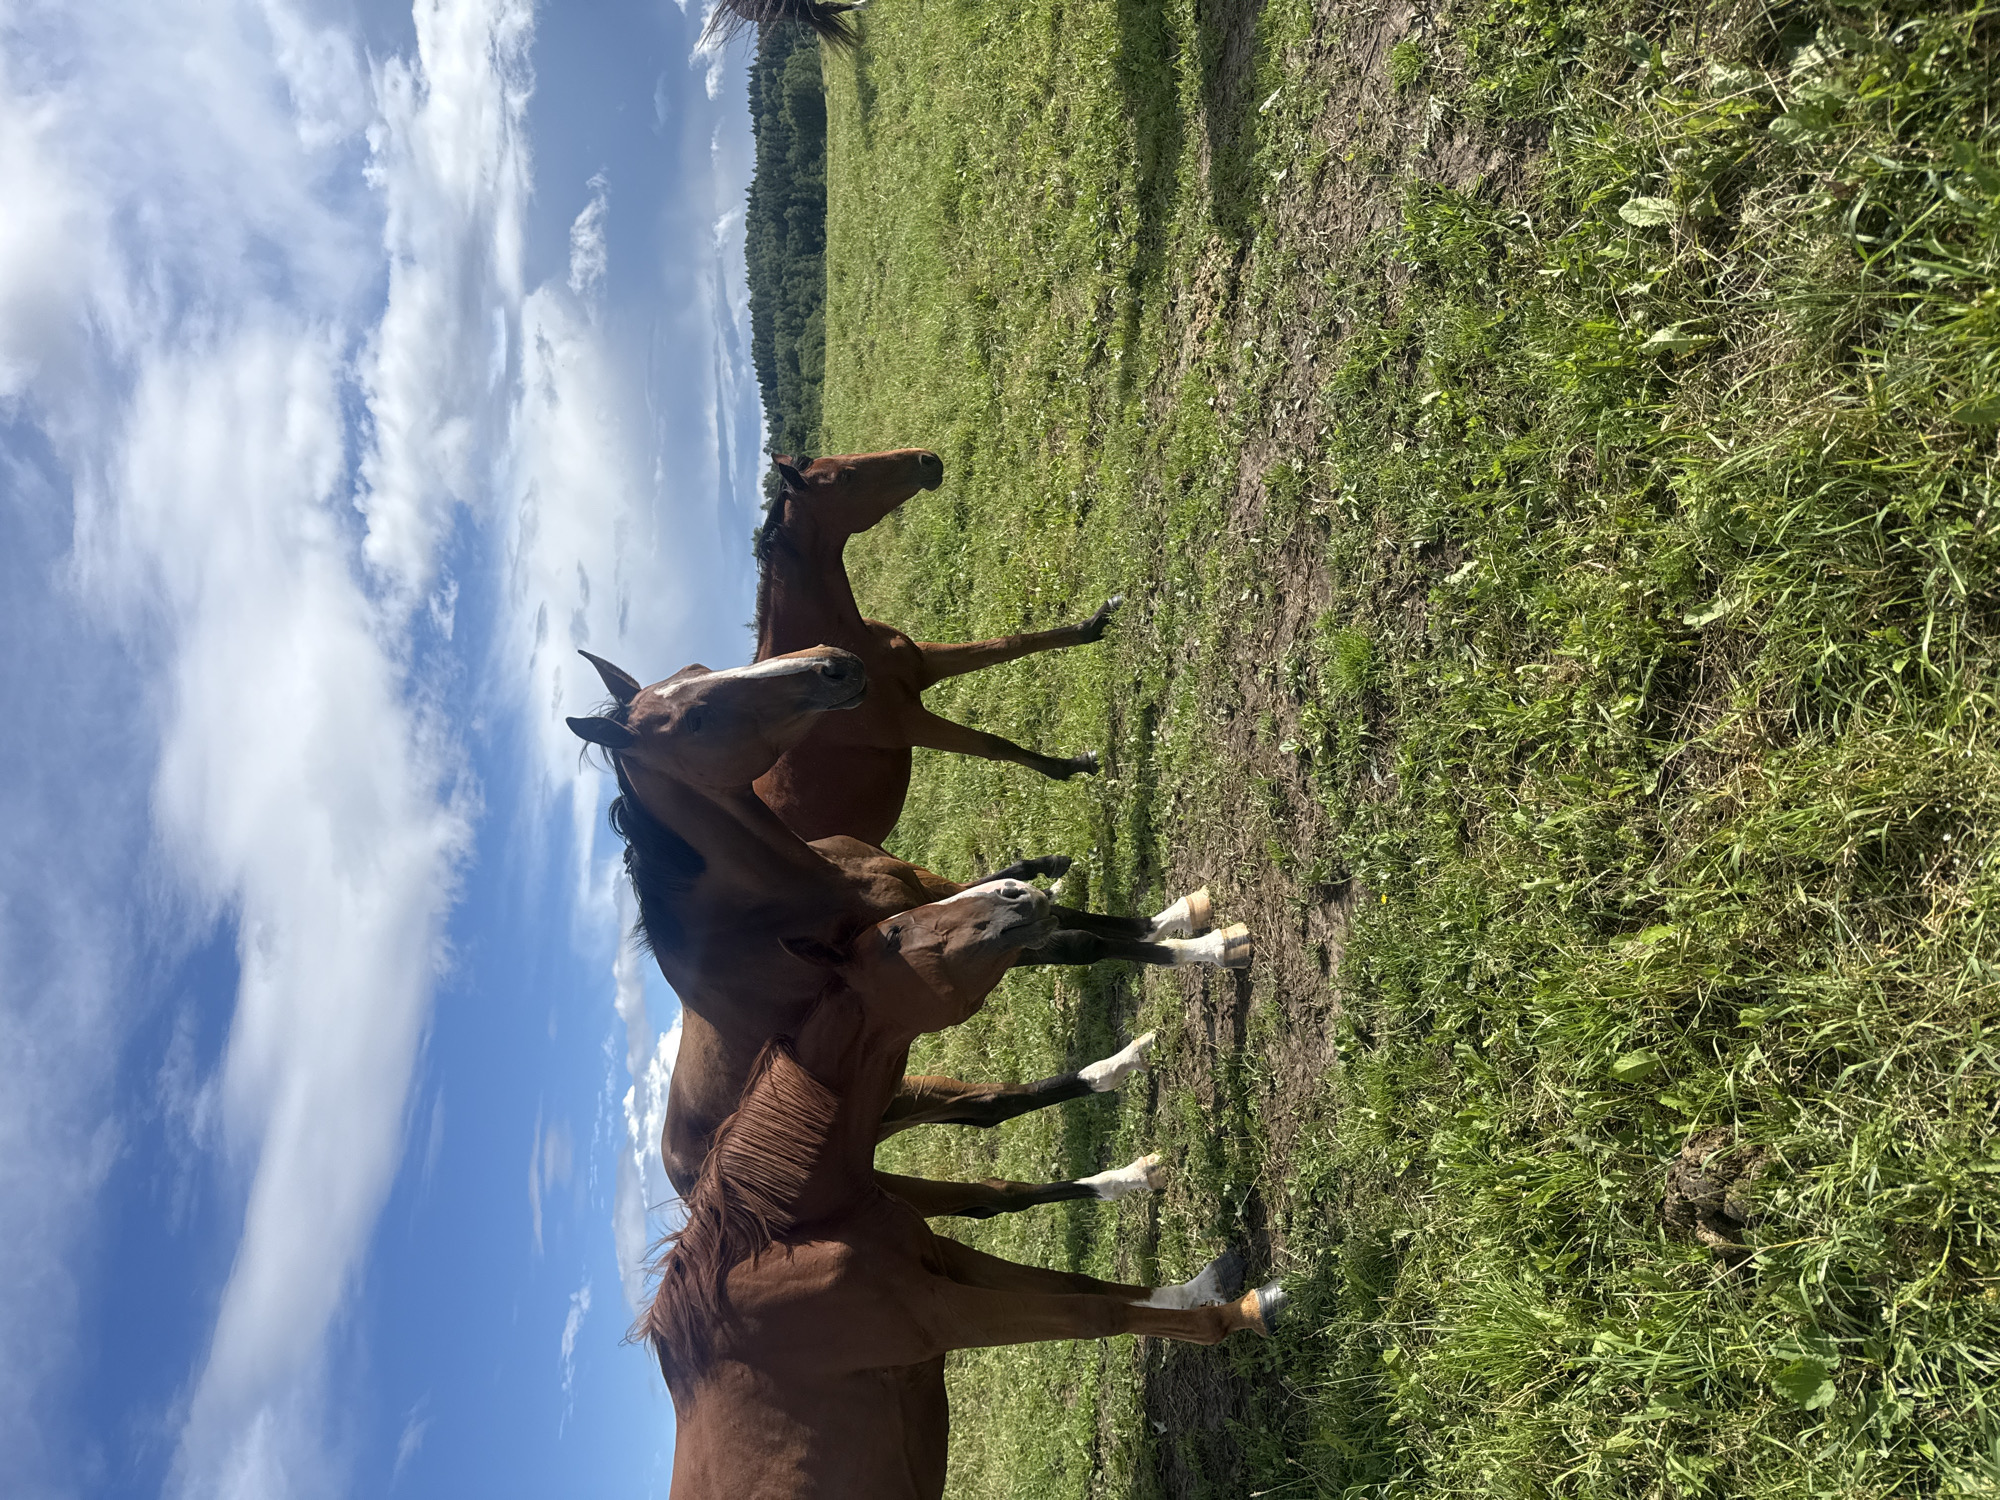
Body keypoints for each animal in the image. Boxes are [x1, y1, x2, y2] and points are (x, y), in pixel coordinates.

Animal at [565, 646, 1252, 1219]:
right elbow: (1080, 943)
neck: (783, 896)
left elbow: (1069, 917)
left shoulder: (933, 896)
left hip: (906, 1095)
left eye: (698, 672)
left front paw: (1179, 915)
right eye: (696, 720)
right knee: (990, 1197)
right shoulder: (950, 955)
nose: (832, 664)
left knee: (989, 1112)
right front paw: (1212, 947)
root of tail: (685, 1177)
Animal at [638, 879, 1285, 1499]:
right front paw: (1243, 1312)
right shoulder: (942, 1315)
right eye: (894, 934)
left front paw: (1200, 1285)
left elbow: (1082, 1284)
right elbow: (1093, 1311)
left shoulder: (945, 1262)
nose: (1014, 891)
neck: (785, 1242)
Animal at [753, 449, 1119, 846]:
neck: (842, 643)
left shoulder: (925, 664)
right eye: (846, 476)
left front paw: (1097, 621)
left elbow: (1011, 643)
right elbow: (995, 745)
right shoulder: (909, 723)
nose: (926, 459)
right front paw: (1073, 765)